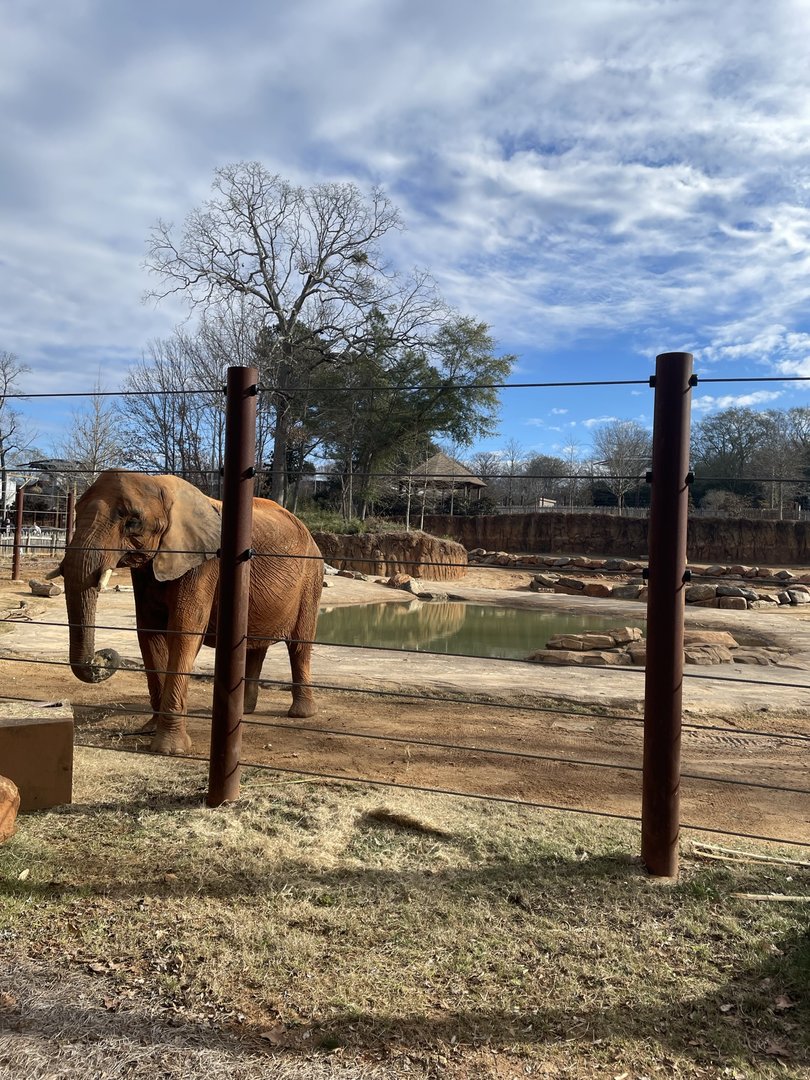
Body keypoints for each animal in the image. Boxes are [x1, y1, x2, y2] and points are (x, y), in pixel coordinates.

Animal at [54, 470, 323, 755]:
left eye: (133, 522)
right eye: (75, 511)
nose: (103, 656)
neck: (163, 487)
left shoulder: (204, 562)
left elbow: (183, 631)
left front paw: (168, 749)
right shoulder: (148, 569)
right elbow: (148, 632)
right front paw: (150, 728)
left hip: (311, 578)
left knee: (299, 645)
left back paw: (300, 714)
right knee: (254, 646)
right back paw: (246, 711)